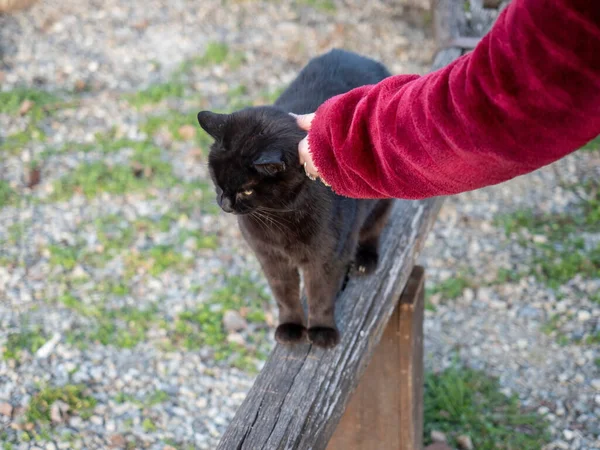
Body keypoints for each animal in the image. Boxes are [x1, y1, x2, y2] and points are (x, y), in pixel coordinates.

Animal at [197, 48, 394, 348]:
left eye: (246, 190)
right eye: (217, 180)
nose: (225, 204)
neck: (280, 218)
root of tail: (353, 54)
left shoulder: (327, 257)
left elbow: (321, 295)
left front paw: (322, 330)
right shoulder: (270, 257)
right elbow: (284, 295)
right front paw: (290, 327)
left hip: (380, 197)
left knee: (374, 226)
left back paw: (365, 260)